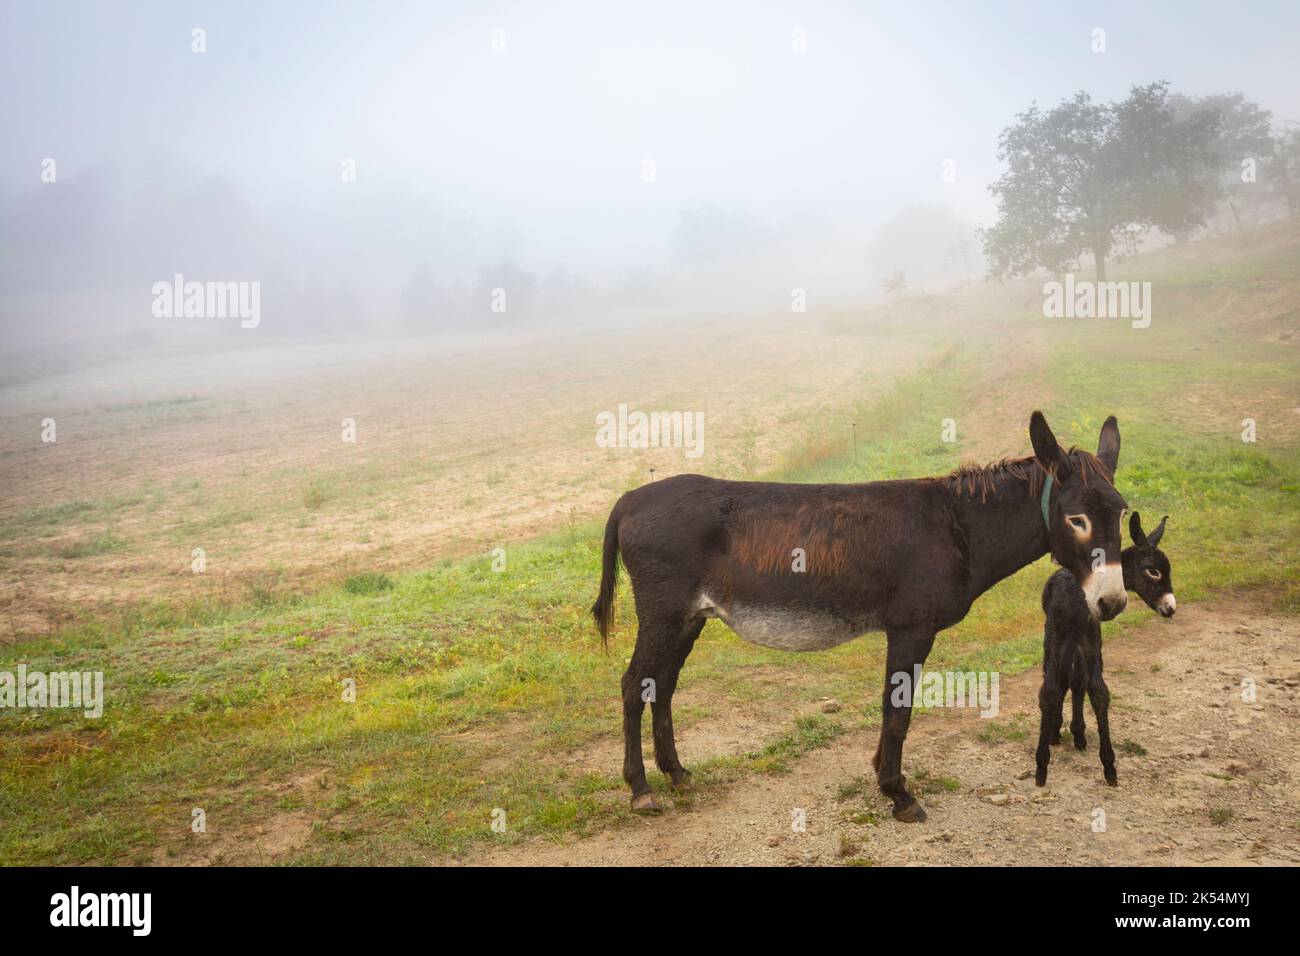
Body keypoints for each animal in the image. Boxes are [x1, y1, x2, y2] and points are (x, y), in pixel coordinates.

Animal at [1034, 512, 1180, 790]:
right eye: (1153, 571)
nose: (1170, 608)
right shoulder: (1057, 635)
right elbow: (1050, 690)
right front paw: (1041, 766)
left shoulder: (1091, 639)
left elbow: (1097, 691)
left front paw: (1109, 766)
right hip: (1059, 639)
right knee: (1063, 681)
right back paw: (1057, 733)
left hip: (1080, 643)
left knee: (1075, 682)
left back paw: (1076, 733)